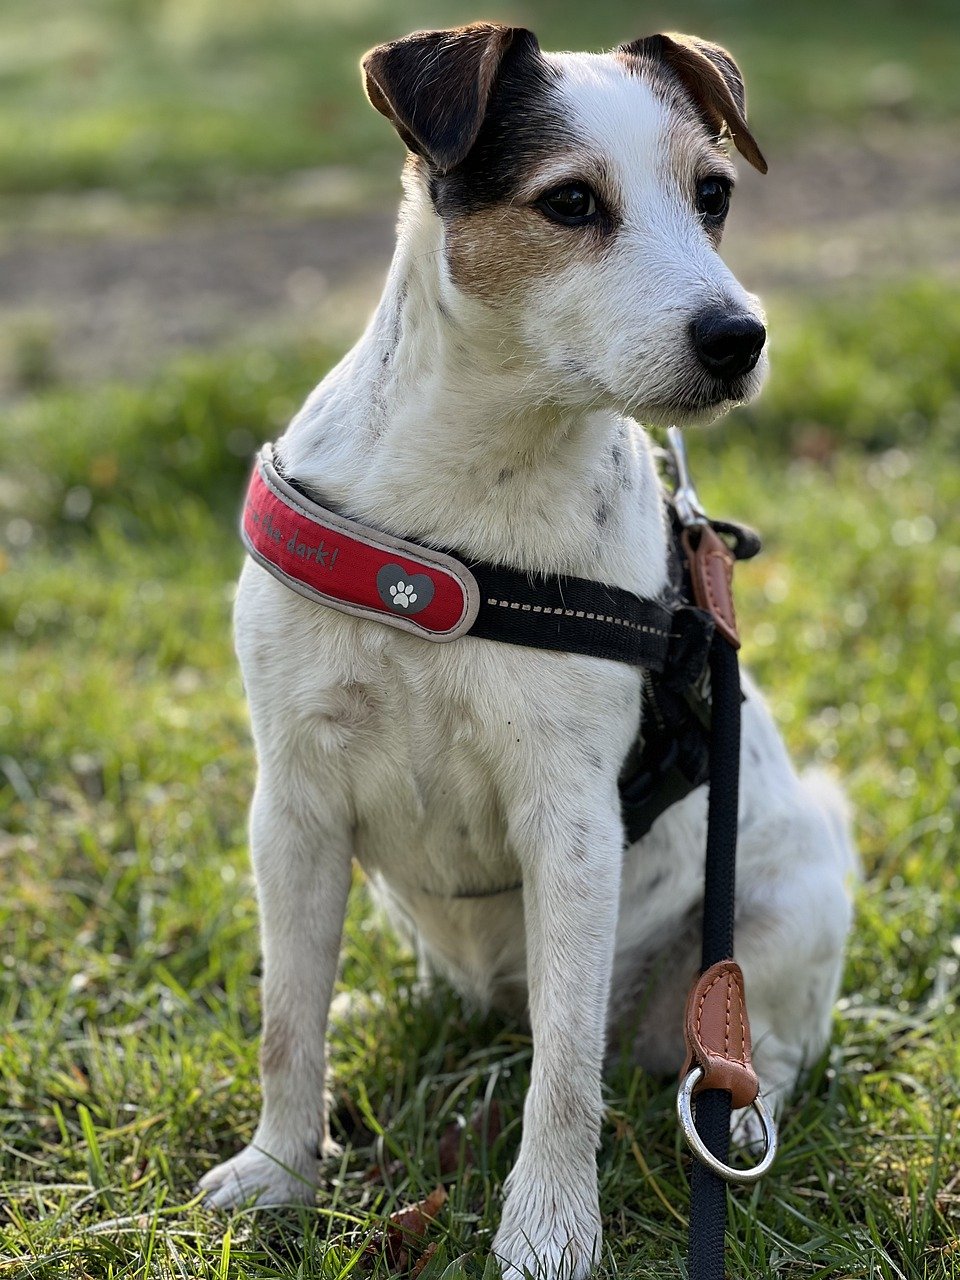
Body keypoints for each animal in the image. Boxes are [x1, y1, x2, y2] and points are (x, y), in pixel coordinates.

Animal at [197, 24, 855, 1274]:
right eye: (571, 202)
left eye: (713, 195)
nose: (738, 336)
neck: (464, 507)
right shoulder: (293, 805)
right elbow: (286, 1017)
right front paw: (280, 1170)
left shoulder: (571, 822)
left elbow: (564, 1070)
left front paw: (548, 1224)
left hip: (776, 916)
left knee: (741, 1045)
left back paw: (739, 1113)